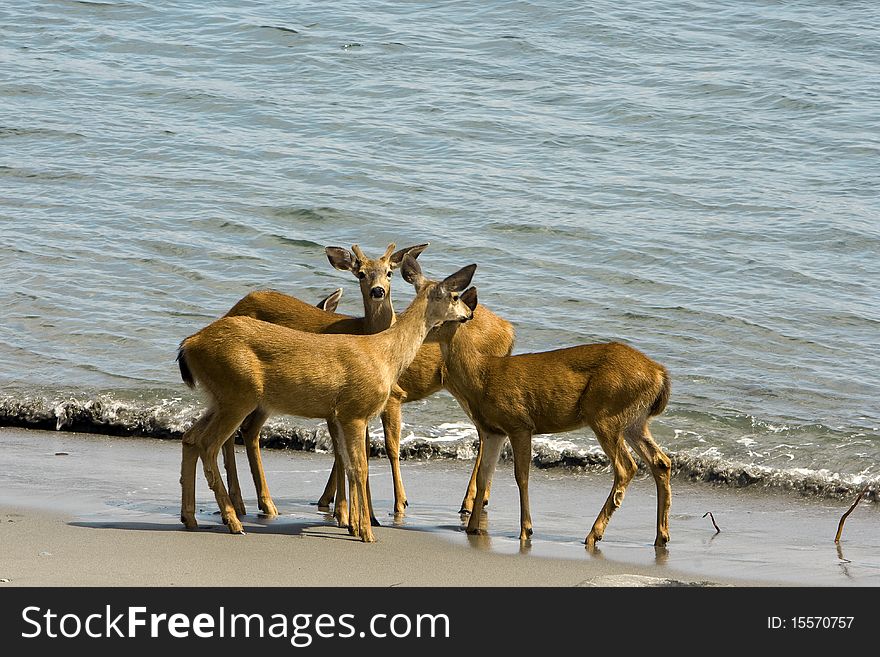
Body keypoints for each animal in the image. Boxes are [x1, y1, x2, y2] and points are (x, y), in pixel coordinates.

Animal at [179, 254, 478, 540]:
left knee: (191, 437)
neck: (384, 353)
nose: (469, 313)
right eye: (454, 296)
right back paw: (233, 521)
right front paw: (366, 531)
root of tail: (189, 344)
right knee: (209, 444)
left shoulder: (342, 414)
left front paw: (354, 525)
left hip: (219, 397)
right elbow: (360, 468)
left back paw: (191, 518)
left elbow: (348, 463)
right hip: (238, 394)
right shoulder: (354, 411)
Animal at [436, 288, 672, 548]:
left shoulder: (519, 423)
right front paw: (472, 528)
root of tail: (660, 374)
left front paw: (526, 530)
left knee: (626, 466)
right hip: (635, 421)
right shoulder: (493, 430)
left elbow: (521, 476)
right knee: (661, 462)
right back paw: (661, 537)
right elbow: (484, 476)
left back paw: (594, 534)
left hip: (606, 413)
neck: (481, 377)